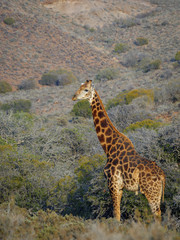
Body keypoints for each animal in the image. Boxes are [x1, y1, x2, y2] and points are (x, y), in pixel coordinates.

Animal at [72, 80, 165, 221]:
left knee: (157, 214)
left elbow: (116, 215)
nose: (74, 97)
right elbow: (118, 213)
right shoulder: (119, 187)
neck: (108, 147)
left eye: (86, 90)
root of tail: (162, 175)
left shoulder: (113, 184)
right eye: (80, 87)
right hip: (156, 193)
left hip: (150, 192)